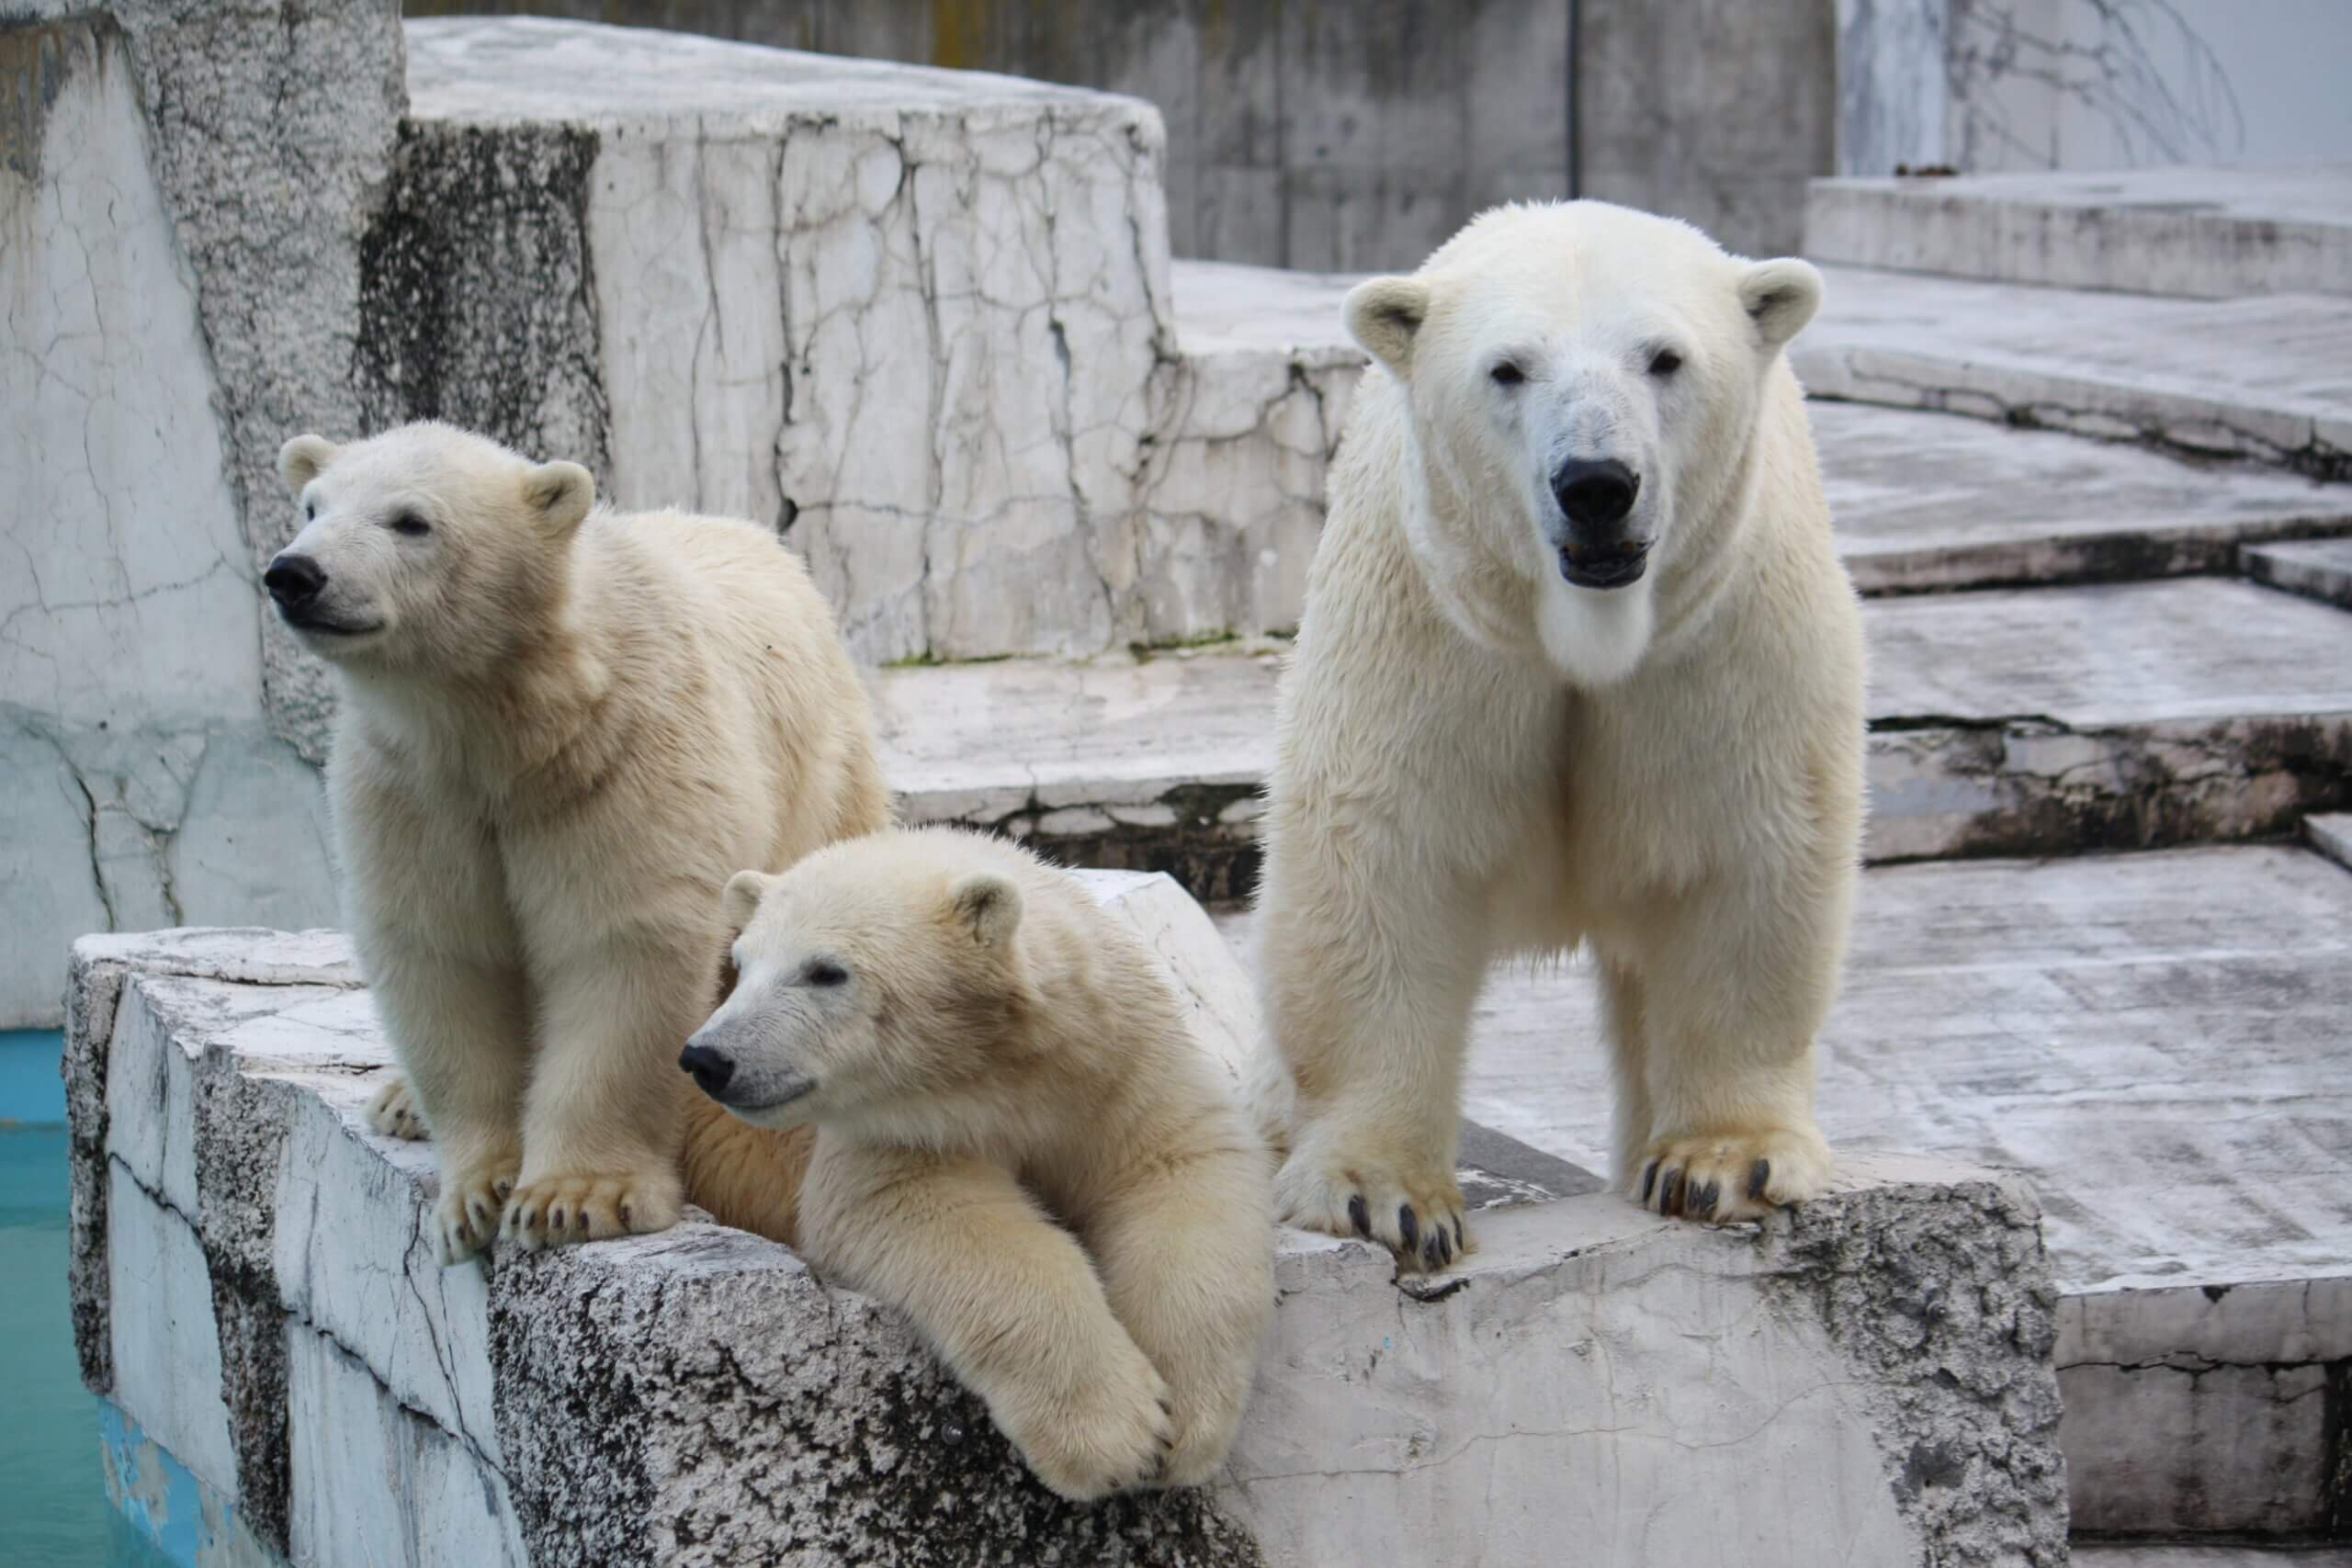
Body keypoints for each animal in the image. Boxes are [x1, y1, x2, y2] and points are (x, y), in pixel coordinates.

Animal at [269, 425, 888, 1259]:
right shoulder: (415, 794)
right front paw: (477, 1196)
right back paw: (399, 1099)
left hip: (823, 778)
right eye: (311, 506)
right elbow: (444, 953)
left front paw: (574, 1198)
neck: (516, 725)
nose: (295, 573)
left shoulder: (622, 758)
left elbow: (617, 946)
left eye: (411, 521)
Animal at [1261, 199, 1862, 1279]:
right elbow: (1383, 862)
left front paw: (1724, 1162)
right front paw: (1382, 1195)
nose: (1596, 483)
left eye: (1664, 357)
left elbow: (1745, 855)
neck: (1584, 630)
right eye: (1508, 368)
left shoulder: (1719, 637)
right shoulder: (1435, 626)